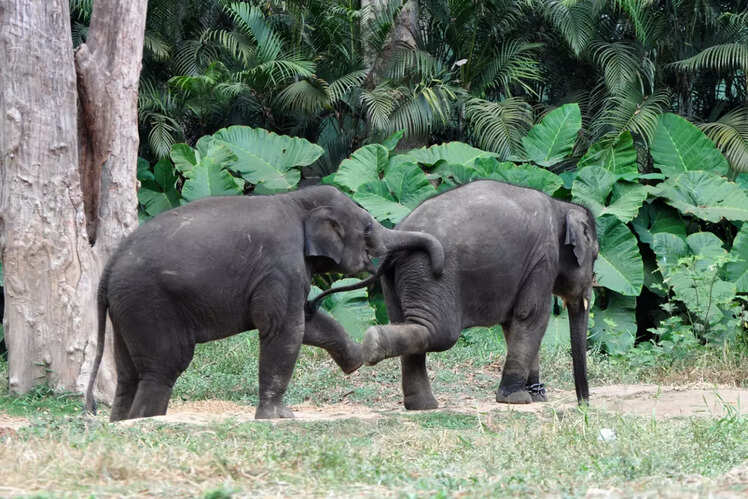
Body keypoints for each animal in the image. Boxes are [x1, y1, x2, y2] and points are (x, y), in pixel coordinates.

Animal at [85, 185, 444, 421]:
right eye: (368, 227)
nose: (439, 269)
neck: (296, 200)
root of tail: (108, 270)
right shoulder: (281, 265)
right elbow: (285, 329)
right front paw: (279, 417)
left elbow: (308, 324)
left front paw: (358, 356)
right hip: (150, 304)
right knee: (164, 367)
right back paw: (147, 421)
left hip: (127, 309)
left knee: (128, 373)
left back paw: (121, 422)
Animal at [309, 180, 598, 409]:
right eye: (595, 256)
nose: (584, 404)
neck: (561, 206)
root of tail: (398, 236)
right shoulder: (542, 259)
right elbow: (531, 317)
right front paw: (516, 399)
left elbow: (513, 325)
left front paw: (534, 396)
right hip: (430, 274)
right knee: (440, 332)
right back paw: (373, 343)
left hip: (397, 280)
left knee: (409, 323)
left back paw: (421, 405)